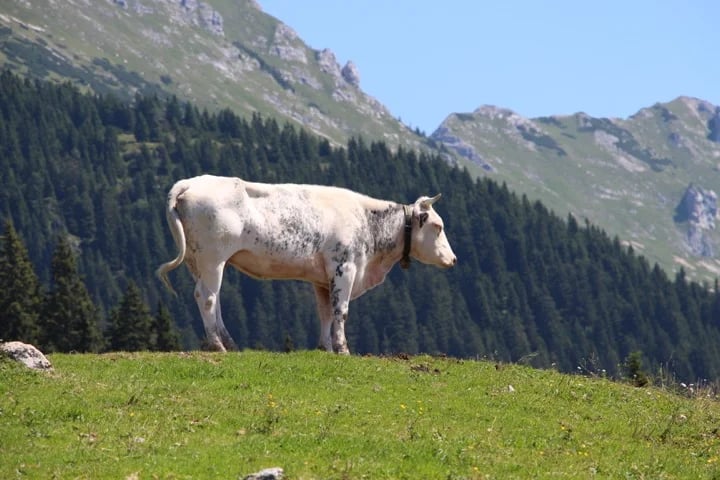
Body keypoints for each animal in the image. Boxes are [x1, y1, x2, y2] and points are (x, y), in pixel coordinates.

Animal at [156, 175, 457, 353]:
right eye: (438, 226)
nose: (453, 259)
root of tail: (192, 182)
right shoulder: (344, 267)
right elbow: (341, 311)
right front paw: (343, 349)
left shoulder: (321, 279)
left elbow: (325, 313)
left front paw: (326, 348)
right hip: (213, 258)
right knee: (206, 297)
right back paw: (217, 345)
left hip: (198, 260)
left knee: (212, 297)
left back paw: (229, 343)